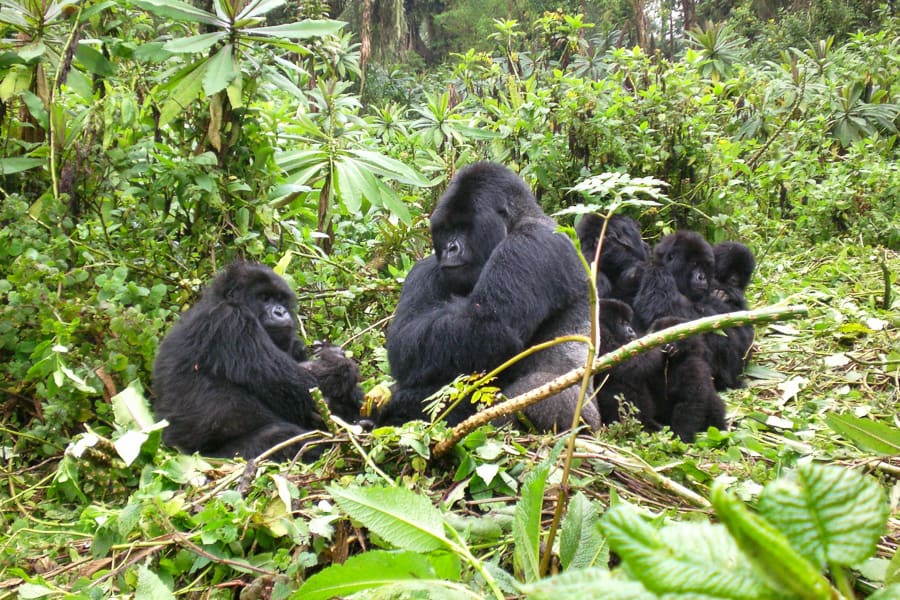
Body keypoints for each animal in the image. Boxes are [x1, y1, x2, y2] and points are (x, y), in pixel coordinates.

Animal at [153, 260, 364, 462]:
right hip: (215, 458)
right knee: (281, 436)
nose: (280, 312)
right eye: (264, 298)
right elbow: (299, 386)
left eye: (280, 299)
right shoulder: (230, 321)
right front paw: (338, 364)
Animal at [376, 162, 600, 428]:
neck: (521, 219)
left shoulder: (531, 243)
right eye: (446, 230)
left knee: (535, 386)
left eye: (464, 227)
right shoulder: (425, 270)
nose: (451, 248)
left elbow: (487, 327)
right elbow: (404, 337)